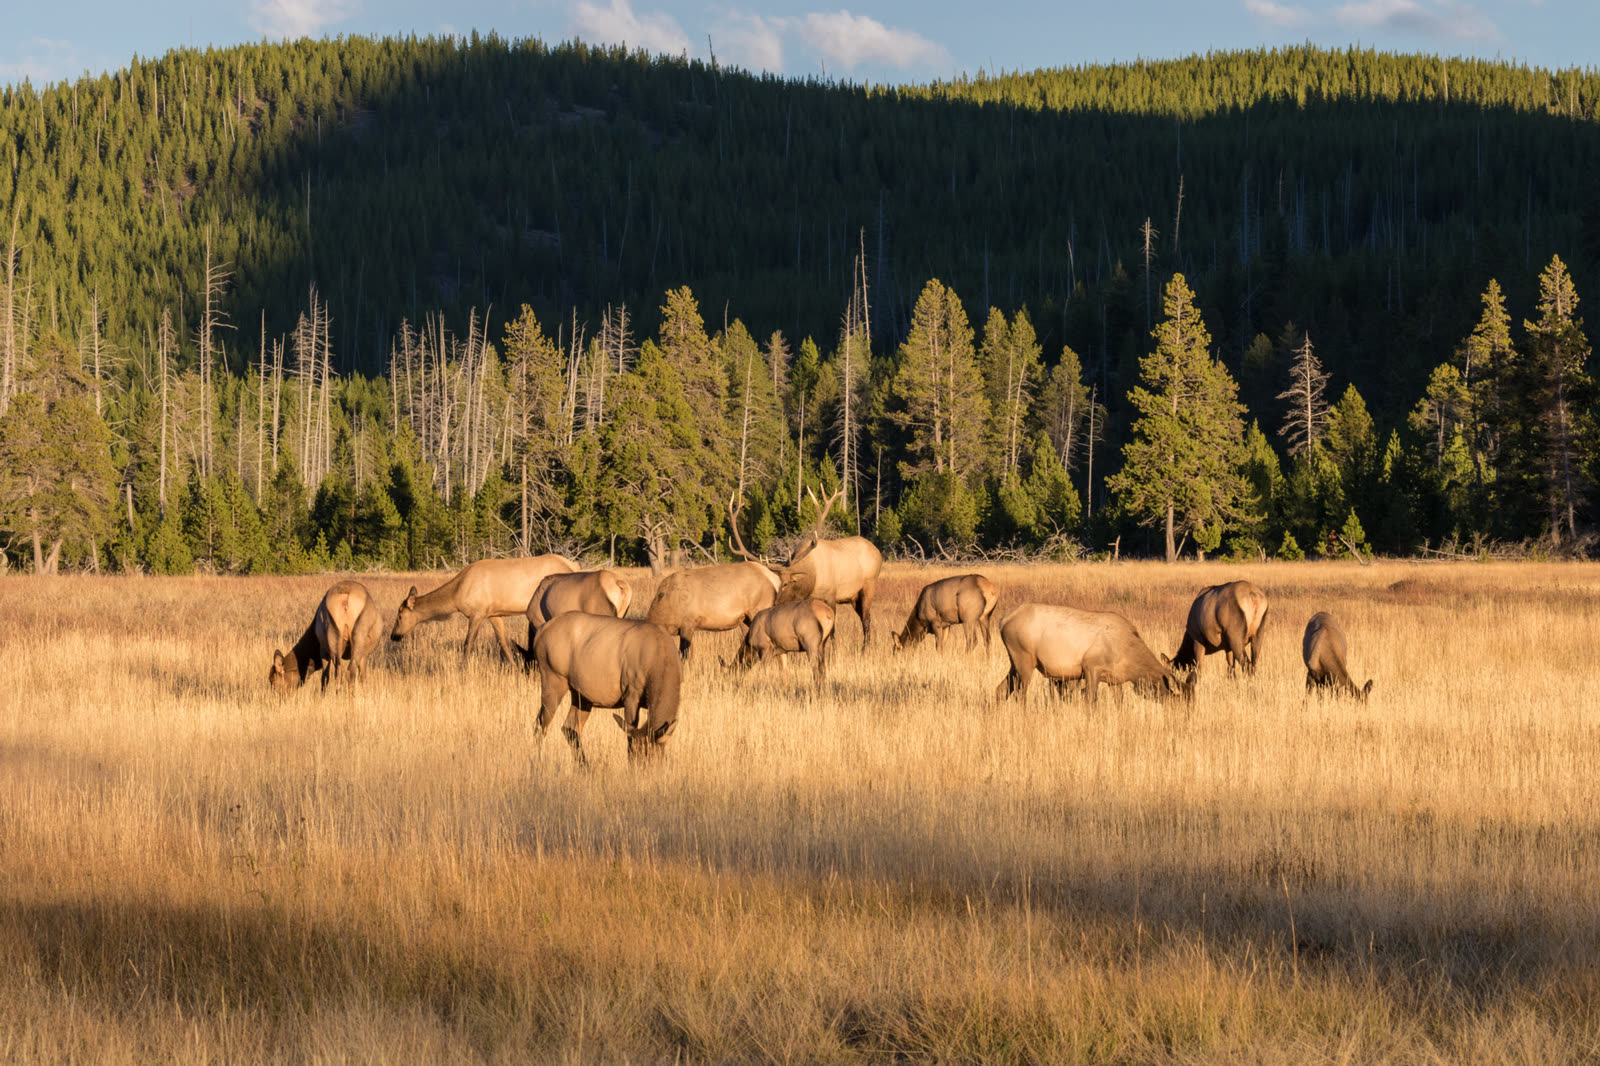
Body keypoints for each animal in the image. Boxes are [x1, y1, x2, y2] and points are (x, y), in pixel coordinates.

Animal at [390, 554, 578, 665]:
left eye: (399, 616)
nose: (393, 636)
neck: (456, 595)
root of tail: (574, 565)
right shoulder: (494, 614)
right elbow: (503, 642)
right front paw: (514, 667)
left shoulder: (477, 613)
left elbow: (468, 643)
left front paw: (463, 668)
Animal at [531, 613, 681, 765]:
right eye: (637, 753)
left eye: (653, 755)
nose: (640, 768)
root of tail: (540, 632)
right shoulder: (631, 693)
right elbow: (629, 734)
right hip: (553, 678)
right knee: (540, 725)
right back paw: (538, 762)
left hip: (581, 696)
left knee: (569, 727)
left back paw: (584, 765)